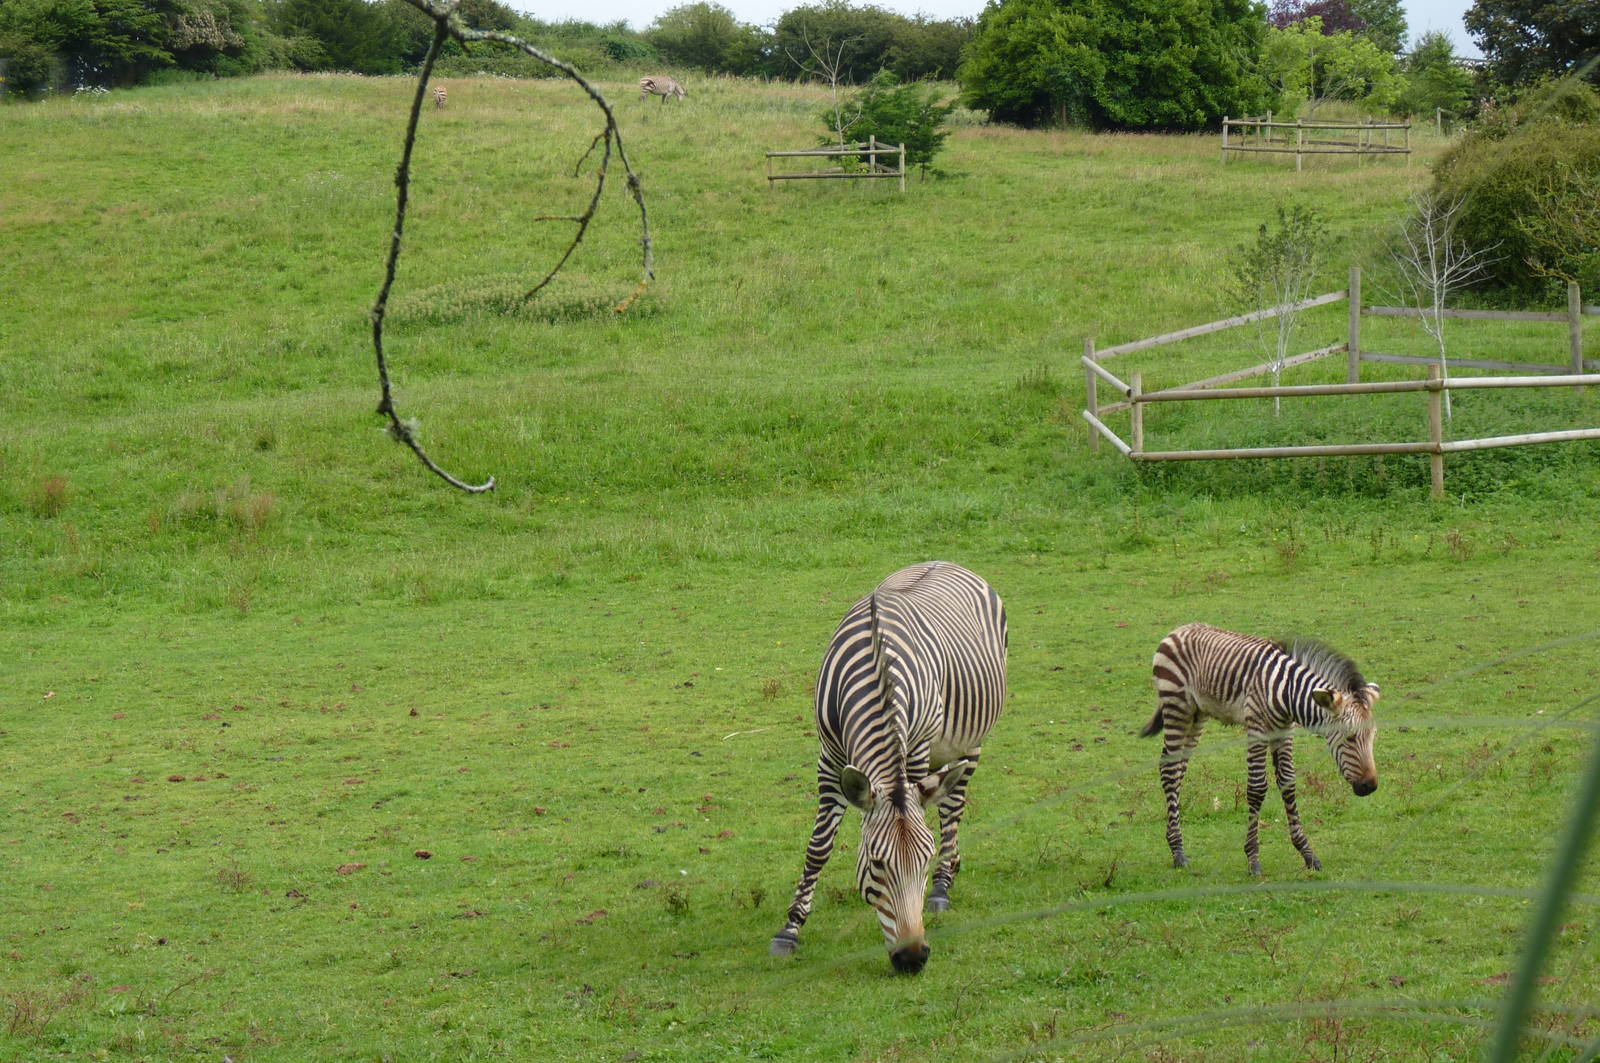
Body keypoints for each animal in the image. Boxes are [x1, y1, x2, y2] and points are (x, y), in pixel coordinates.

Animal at [771, 561, 1007, 974]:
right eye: (876, 864)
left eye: (924, 861)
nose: (913, 958)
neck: (876, 667)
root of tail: (946, 561)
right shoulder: (829, 757)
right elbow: (819, 846)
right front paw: (791, 929)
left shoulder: (915, 750)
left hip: (970, 739)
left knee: (953, 807)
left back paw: (944, 885)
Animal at [1145, 623, 1379, 876]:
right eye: (1350, 738)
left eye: (1373, 737)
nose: (1370, 786)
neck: (1287, 694)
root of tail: (1178, 629)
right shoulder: (1257, 728)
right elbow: (1257, 789)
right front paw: (1253, 859)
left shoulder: (1284, 731)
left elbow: (1288, 784)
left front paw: (1308, 854)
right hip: (1177, 706)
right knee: (1170, 770)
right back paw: (1178, 852)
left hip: (1197, 714)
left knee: (1178, 768)